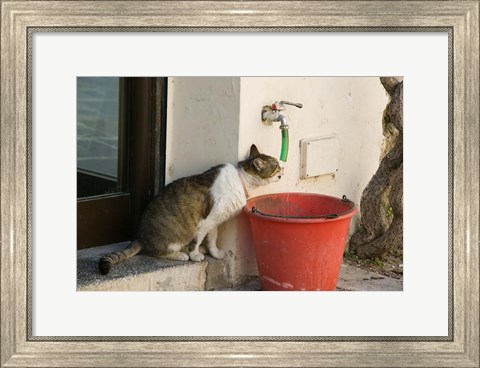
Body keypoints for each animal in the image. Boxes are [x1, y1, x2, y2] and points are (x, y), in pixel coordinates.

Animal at [99, 145, 284, 274]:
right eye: (276, 165)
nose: (284, 165)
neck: (241, 180)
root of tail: (139, 236)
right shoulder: (205, 221)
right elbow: (197, 239)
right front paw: (195, 256)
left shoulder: (214, 221)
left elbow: (212, 238)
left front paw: (214, 253)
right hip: (171, 238)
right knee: (156, 251)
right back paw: (181, 255)